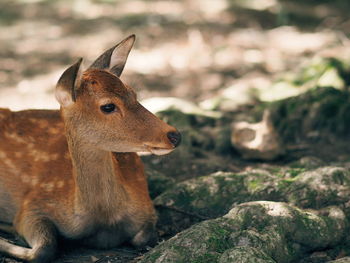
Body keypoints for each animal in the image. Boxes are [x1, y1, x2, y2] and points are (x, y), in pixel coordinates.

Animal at [0, 35, 182, 263]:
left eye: (133, 92)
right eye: (108, 106)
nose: (174, 135)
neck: (103, 217)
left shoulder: (146, 205)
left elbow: (144, 237)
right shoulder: (33, 203)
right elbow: (43, 249)